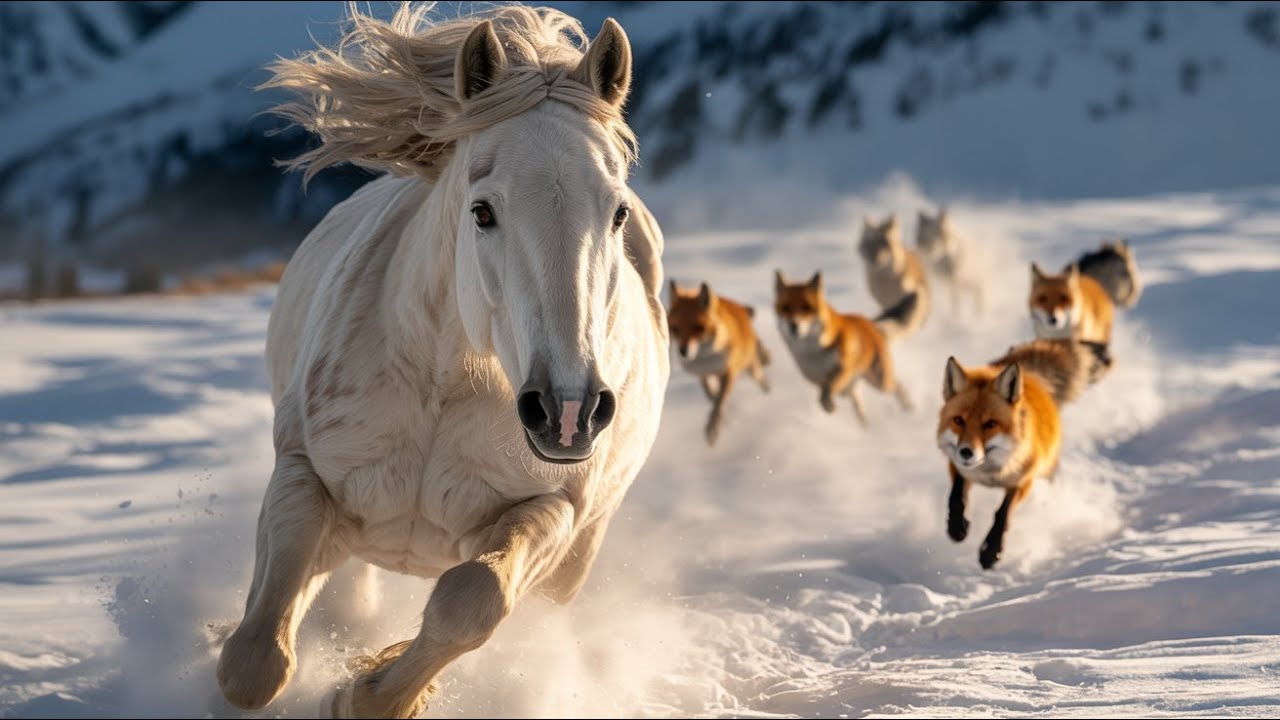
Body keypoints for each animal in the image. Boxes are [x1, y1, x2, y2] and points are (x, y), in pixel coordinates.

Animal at [214, 5, 669, 718]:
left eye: (618, 211)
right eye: (482, 211)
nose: (568, 412)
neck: (445, 385)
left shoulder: (552, 508)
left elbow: (473, 599)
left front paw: (370, 689)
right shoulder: (303, 470)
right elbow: (254, 661)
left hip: (575, 559)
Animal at [668, 280, 771, 445]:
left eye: (698, 328)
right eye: (675, 329)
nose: (683, 352)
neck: (707, 357)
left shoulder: (728, 373)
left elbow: (719, 404)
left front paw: (712, 428)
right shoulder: (703, 374)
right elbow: (711, 394)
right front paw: (715, 409)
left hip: (751, 369)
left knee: (760, 375)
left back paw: (767, 388)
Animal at [774, 269, 916, 425]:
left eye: (807, 307)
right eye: (786, 308)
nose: (793, 325)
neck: (813, 353)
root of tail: (871, 324)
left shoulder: (843, 369)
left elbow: (828, 389)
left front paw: (828, 404)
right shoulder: (815, 379)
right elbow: (824, 390)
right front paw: (828, 405)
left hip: (879, 382)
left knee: (897, 386)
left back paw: (909, 409)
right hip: (859, 387)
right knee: (861, 408)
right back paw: (867, 426)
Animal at [937, 356, 1061, 569]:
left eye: (990, 424)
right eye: (959, 420)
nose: (966, 452)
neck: (989, 475)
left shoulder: (1023, 481)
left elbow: (1002, 514)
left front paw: (991, 551)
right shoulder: (957, 465)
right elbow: (956, 497)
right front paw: (956, 526)